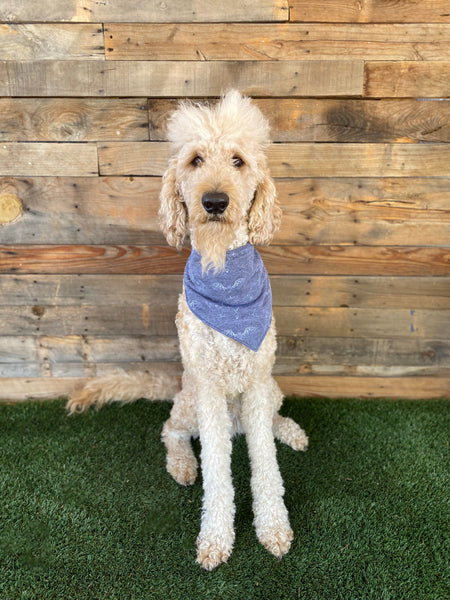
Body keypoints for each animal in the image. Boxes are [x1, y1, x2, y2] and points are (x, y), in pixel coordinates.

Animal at [67, 91, 308, 568]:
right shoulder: (210, 388)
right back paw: (182, 465)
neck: (223, 268)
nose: (214, 201)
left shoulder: (256, 381)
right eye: (196, 160)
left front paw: (273, 527)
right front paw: (216, 537)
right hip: (191, 398)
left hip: (267, 389)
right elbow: (217, 468)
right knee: (171, 430)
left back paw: (289, 431)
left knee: (268, 421)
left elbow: (266, 464)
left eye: (238, 161)